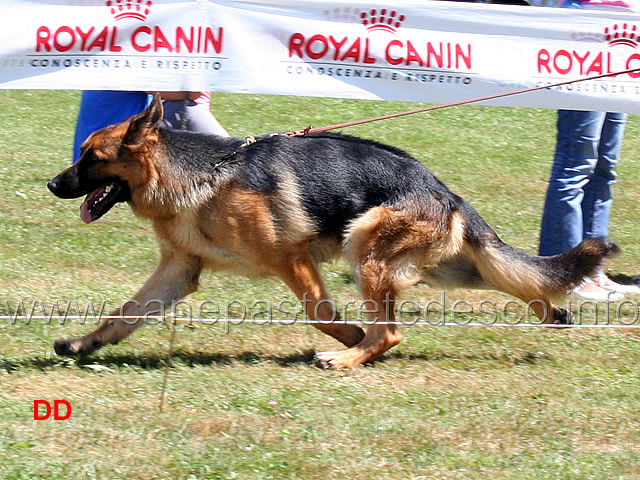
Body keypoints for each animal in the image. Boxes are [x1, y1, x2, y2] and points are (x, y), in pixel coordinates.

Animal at [47, 95, 616, 370]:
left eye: (91, 158)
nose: (52, 184)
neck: (199, 175)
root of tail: (445, 192)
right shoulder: (177, 271)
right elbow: (124, 314)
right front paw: (84, 343)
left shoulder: (291, 259)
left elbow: (319, 312)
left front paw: (348, 338)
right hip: (448, 268)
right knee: (517, 279)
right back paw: (555, 312)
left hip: (364, 245)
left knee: (391, 331)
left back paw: (346, 357)